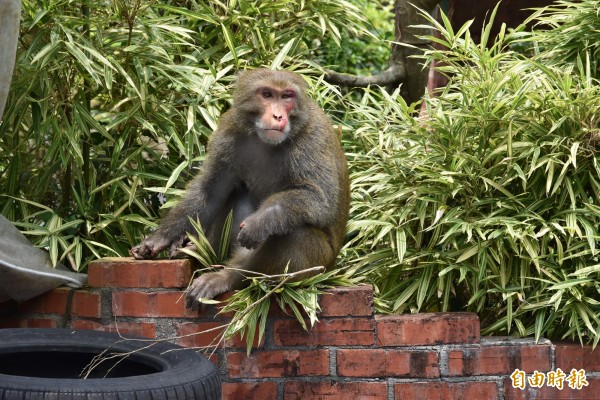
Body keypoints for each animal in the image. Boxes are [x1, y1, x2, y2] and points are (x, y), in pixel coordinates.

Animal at [129, 69, 350, 308]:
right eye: (267, 94)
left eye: (287, 96)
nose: (278, 116)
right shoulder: (229, 130)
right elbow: (210, 191)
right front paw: (161, 238)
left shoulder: (313, 139)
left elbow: (319, 199)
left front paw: (260, 221)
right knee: (235, 194)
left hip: (317, 267)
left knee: (295, 232)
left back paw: (227, 277)